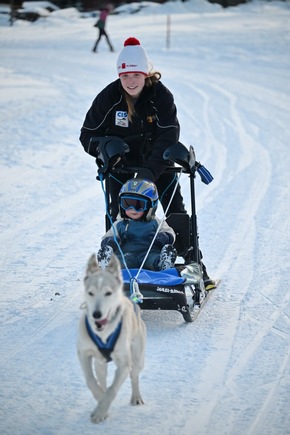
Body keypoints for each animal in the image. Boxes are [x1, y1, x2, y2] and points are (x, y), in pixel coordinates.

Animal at [77, 254, 146, 424]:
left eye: (108, 293)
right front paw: (101, 403)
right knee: (102, 379)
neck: (103, 333)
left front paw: (101, 410)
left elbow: (112, 389)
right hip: (100, 363)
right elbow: (91, 381)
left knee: (134, 375)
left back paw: (136, 397)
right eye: (90, 293)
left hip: (138, 358)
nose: (96, 314)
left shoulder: (124, 363)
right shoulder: (84, 354)